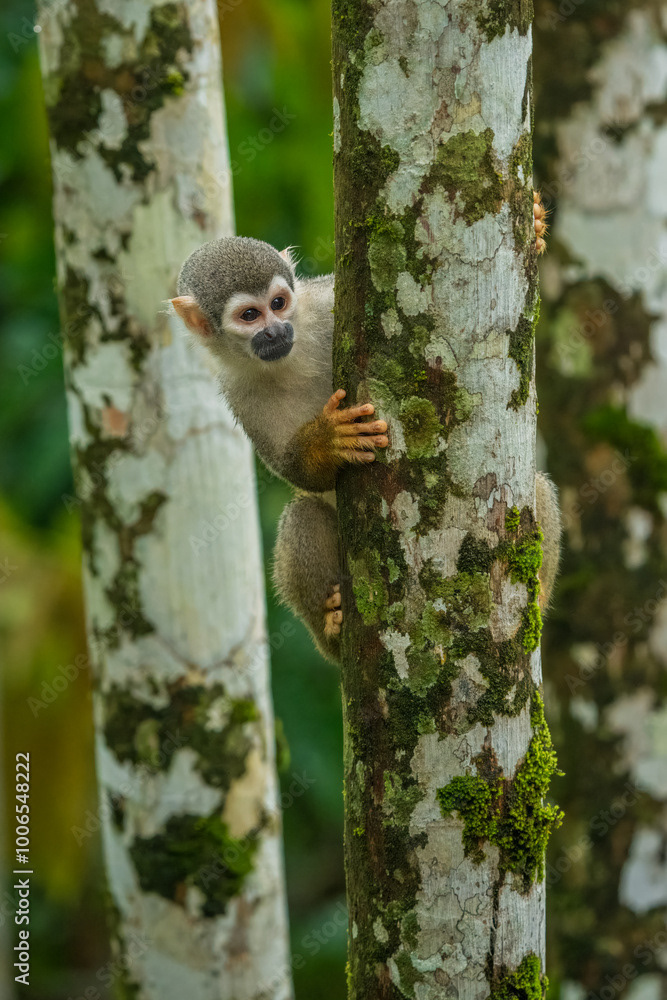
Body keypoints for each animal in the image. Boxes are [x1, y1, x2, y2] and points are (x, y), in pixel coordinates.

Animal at [172, 195, 558, 663]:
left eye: (279, 303)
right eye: (250, 315)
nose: (277, 331)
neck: (288, 359)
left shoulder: (322, 302)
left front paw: (535, 227)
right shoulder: (237, 390)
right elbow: (297, 473)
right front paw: (327, 442)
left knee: (534, 487)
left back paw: (537, 600)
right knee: (303, 513)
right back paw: (332, 632)